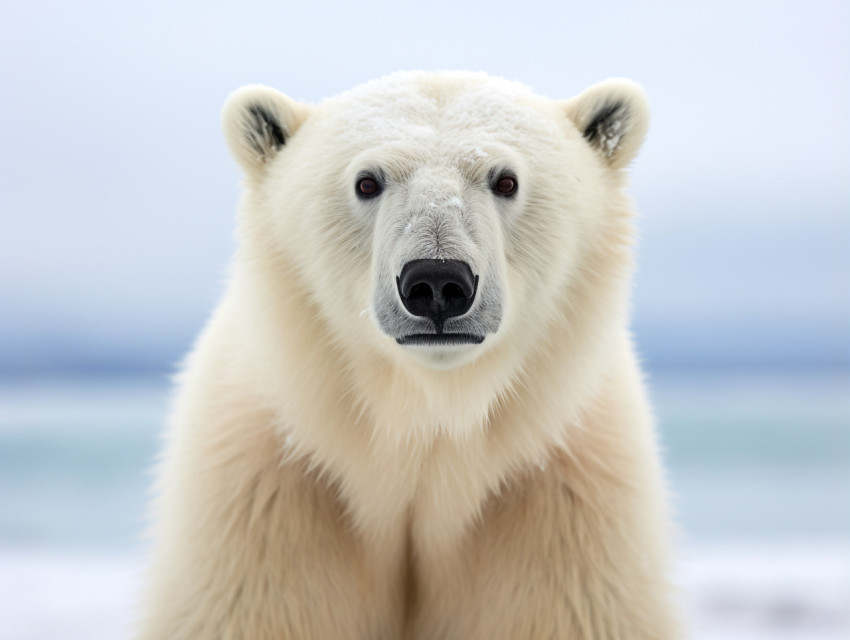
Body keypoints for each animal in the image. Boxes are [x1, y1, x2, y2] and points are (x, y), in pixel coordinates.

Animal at [137, 71, 676, 640]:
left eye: (505, 180)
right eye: (367, 182)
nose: (437, 283)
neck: (424, 425)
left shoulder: (561, 504)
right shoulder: (266, 501)